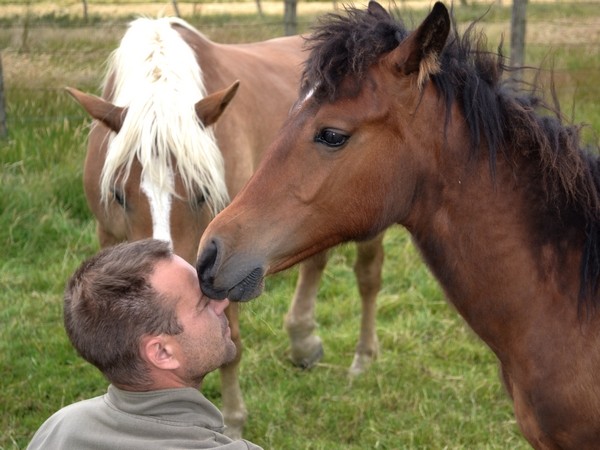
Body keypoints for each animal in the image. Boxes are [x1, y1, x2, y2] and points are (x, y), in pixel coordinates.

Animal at [65, 15, 384, 438]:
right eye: (118, 195)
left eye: (202, 192)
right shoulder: (111, 237)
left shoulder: (227, 261)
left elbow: (229, 344)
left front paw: (232, 423)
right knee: (316, 263)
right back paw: (303, 339)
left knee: (367, 276)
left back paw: (363, 358)